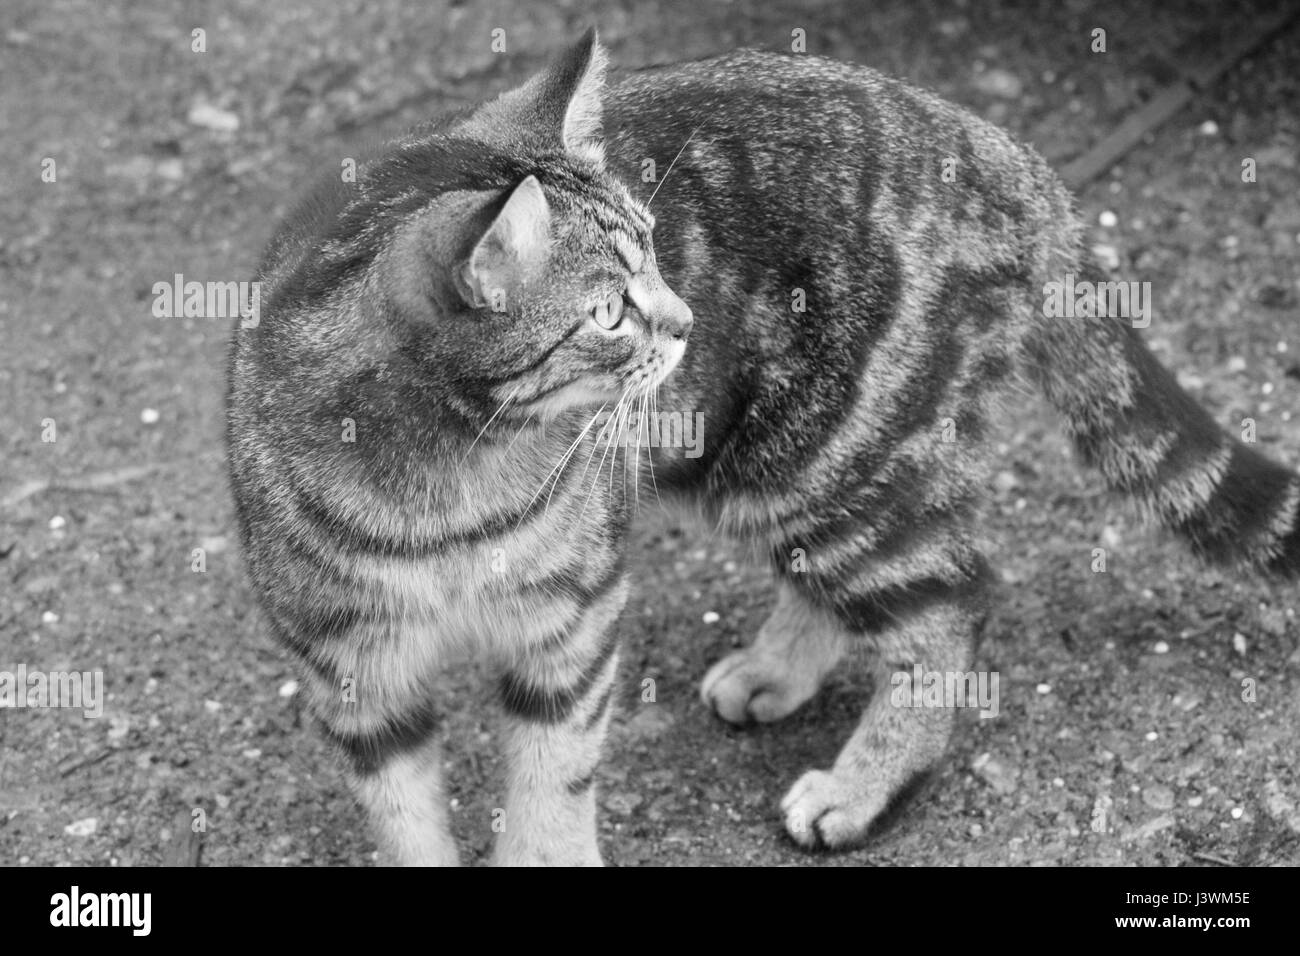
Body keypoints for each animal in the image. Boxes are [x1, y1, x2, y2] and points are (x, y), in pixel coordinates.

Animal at [228, 27, 1300, 868]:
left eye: (658, 247)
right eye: (611, 311)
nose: (685, 320)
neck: (450, 478)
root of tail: (1007, 154)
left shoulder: (572, 624)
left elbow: (550, 783)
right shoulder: (352, 672)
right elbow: (404, 820)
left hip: (824, 456)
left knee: (949, 606)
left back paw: (860, 786)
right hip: (778, 468)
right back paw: (779, 669)